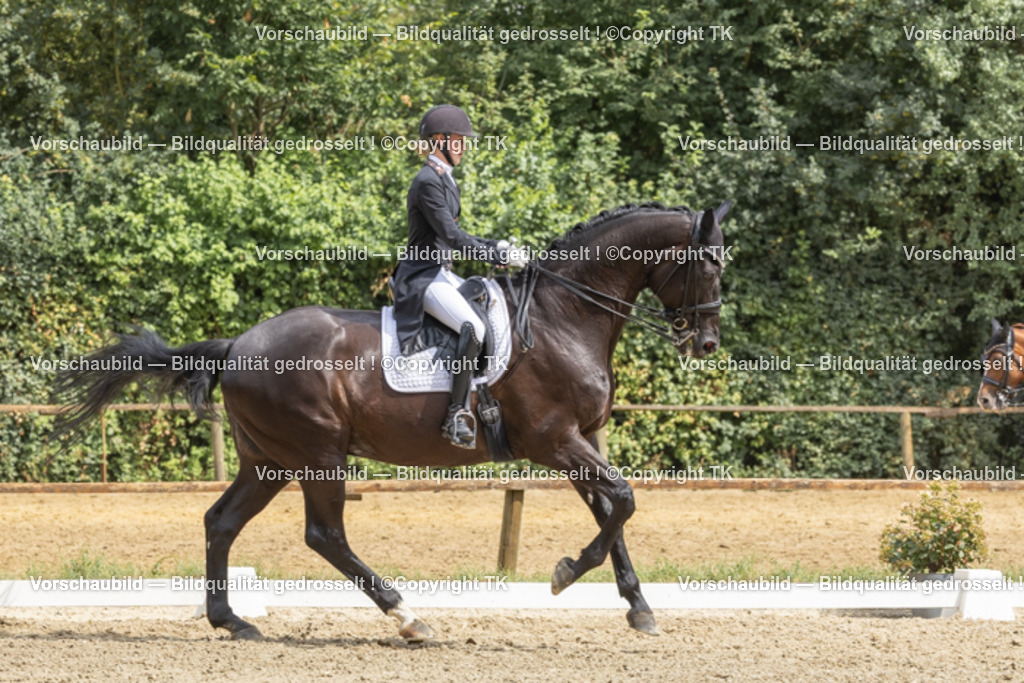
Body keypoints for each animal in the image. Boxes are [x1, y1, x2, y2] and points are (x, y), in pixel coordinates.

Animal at [53, 200, 732, 641]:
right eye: (709, 265)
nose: (706, 343)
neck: (564, 315)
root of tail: (237, 344)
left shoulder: (582, 439)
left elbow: (613, 512)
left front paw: (639, 609)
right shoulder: (556, 441)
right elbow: (623, 501)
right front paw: (565, 576)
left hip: (269, 459)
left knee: (221, 522)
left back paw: (233, 622)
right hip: (318, 454)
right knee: (324, 536)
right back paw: (408, 616)